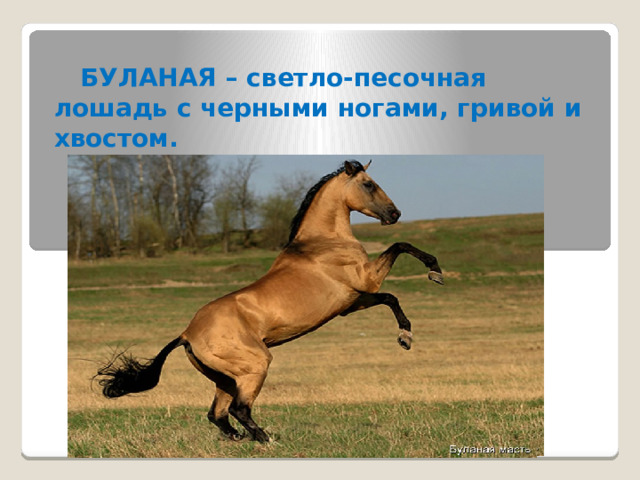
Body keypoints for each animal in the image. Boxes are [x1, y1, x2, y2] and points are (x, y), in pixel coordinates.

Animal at [97, 160, 443, 443]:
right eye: (368, 184)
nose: (395, 214)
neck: (323, 243)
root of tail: (186, 333)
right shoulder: (366, 280)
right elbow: (400, 246)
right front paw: (435, 272)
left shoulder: (352, 303)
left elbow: (391, 297)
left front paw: (405, 337)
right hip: (254, 366)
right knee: (238, 409)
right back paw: (266, 438)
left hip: (226, 378)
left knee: (217, 414)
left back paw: (241, 438)